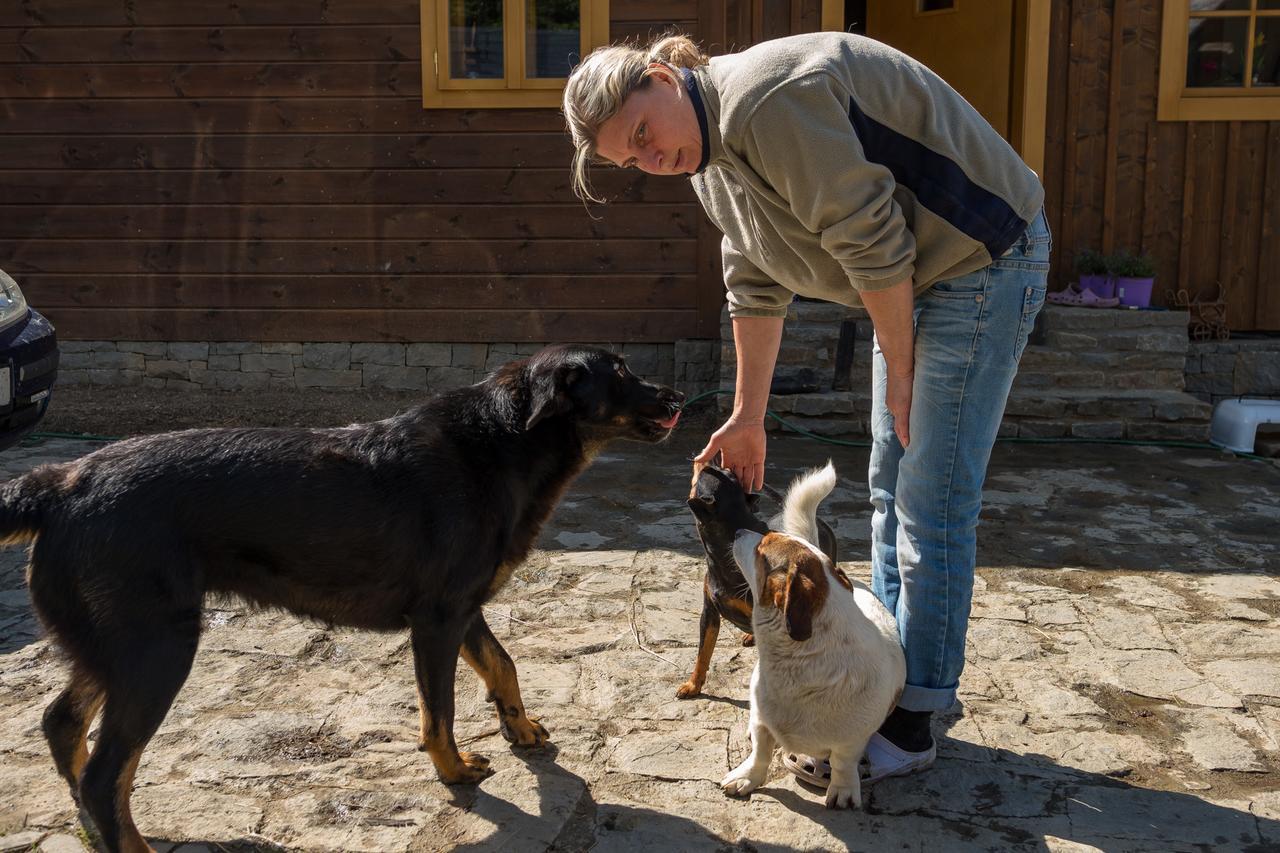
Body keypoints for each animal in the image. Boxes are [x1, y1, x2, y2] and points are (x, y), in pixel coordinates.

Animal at [2, 343, 680, 845]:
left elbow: (502, 665)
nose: (677, 396)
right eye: (621, 372)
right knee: (105, 775)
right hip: (157, 652)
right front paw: (454, 771)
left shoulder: (464, 609)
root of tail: (60, 482)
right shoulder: (438, 620)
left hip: (117, 652)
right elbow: (440, 712)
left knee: (63, 726)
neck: (501, 441)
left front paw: (520, 729)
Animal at [680, 466, 839, 696]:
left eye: (700, 479)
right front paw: (693, 685)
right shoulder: (709, 614)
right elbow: (703, 653)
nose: (711, 464)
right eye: (728, 473)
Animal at [721, 461, 911, 809]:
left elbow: (844, 763)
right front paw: (748, 776)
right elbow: (760, 751)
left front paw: (843, 788)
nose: (739, 532)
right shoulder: (764, 722)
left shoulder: (852, 741)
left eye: (762, 545)